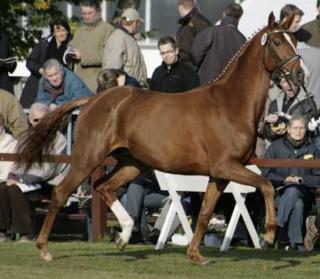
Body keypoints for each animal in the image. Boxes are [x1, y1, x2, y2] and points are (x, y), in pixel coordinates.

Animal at [17, 13, 304, 266]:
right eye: (277, 43)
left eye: (294, 40)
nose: (300, 74)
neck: (230, 104)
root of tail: (92, 100)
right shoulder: (227, 167)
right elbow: (266, 185)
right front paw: (268, 237)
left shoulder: (219, 175)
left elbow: (204, 214)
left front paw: (196, 256)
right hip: (88, 158)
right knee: (61, 192)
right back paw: (44, 249)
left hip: (133, 163)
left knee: (103, 186)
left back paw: (123, 236)